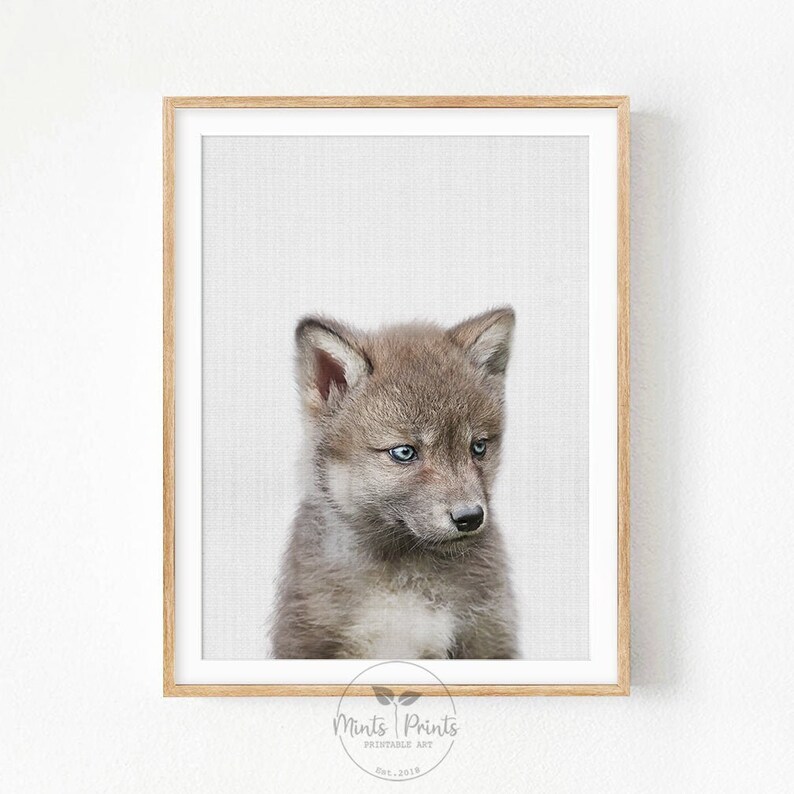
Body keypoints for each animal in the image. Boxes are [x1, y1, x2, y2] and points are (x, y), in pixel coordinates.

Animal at [270, 307, 519, 659]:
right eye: (404, 452)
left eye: (478, 447)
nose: (470, 517)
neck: (403, 581)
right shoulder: (308, 640)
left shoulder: (486, 637)